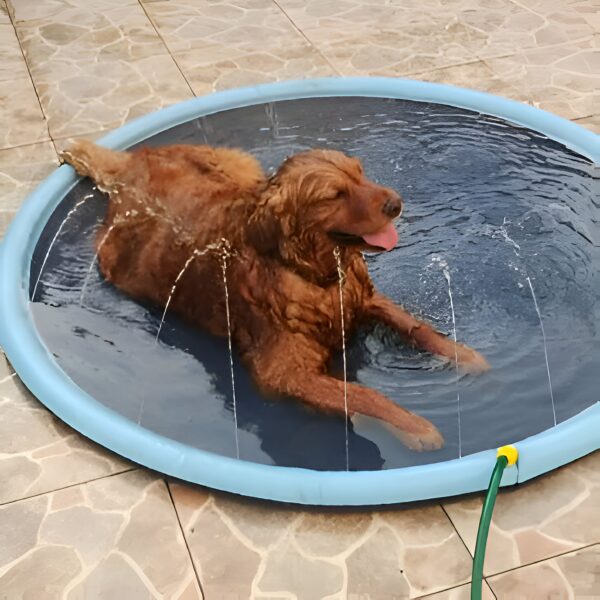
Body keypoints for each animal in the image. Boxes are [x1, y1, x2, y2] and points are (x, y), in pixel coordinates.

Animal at [63, 142, 490, 450]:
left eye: (360, 173)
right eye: (334, 194)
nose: (396, 203)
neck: (314, 274)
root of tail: (129, 165)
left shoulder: (365, 299)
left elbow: (417, 326)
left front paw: (464, 355)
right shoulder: (282, 373)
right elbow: (363, 393)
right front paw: (416, 426)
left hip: (241, 167)